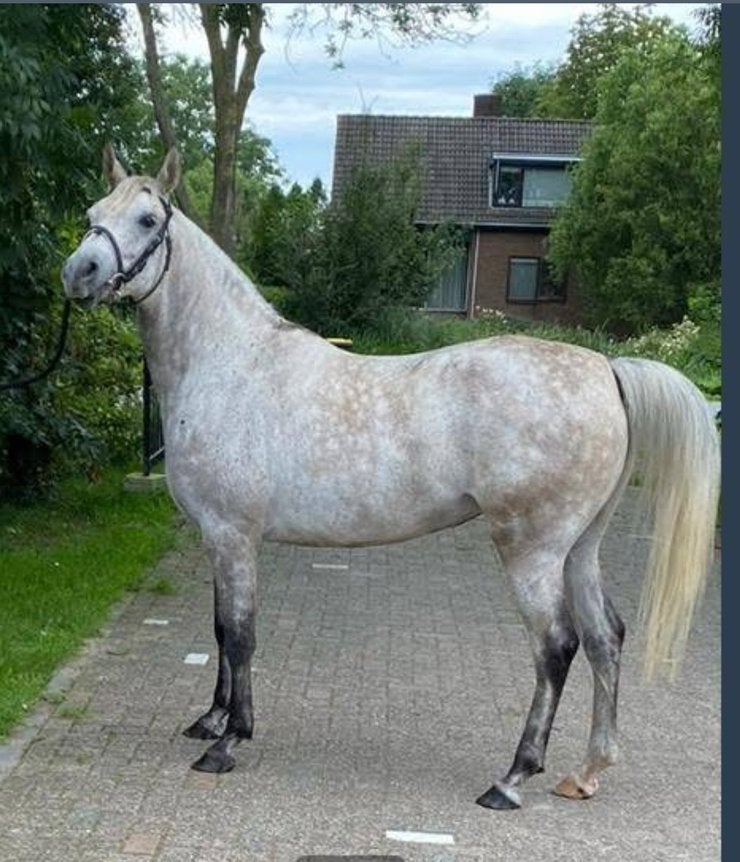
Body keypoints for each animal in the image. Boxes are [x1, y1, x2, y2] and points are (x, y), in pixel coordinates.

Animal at [61, 145, 720, 810]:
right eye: (92, 212)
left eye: (147, 219)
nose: (79, 273)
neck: (229, 363)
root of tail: (605, 368)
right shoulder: (217, 539)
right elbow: (222, 631)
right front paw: (212, 720)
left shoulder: (232, 535)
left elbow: (241, 636)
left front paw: (228, 742)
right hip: (579, 548)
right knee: (606, 637)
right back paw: (586, 771)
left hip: (532, 551)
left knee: (557, 646)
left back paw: (511, 779)